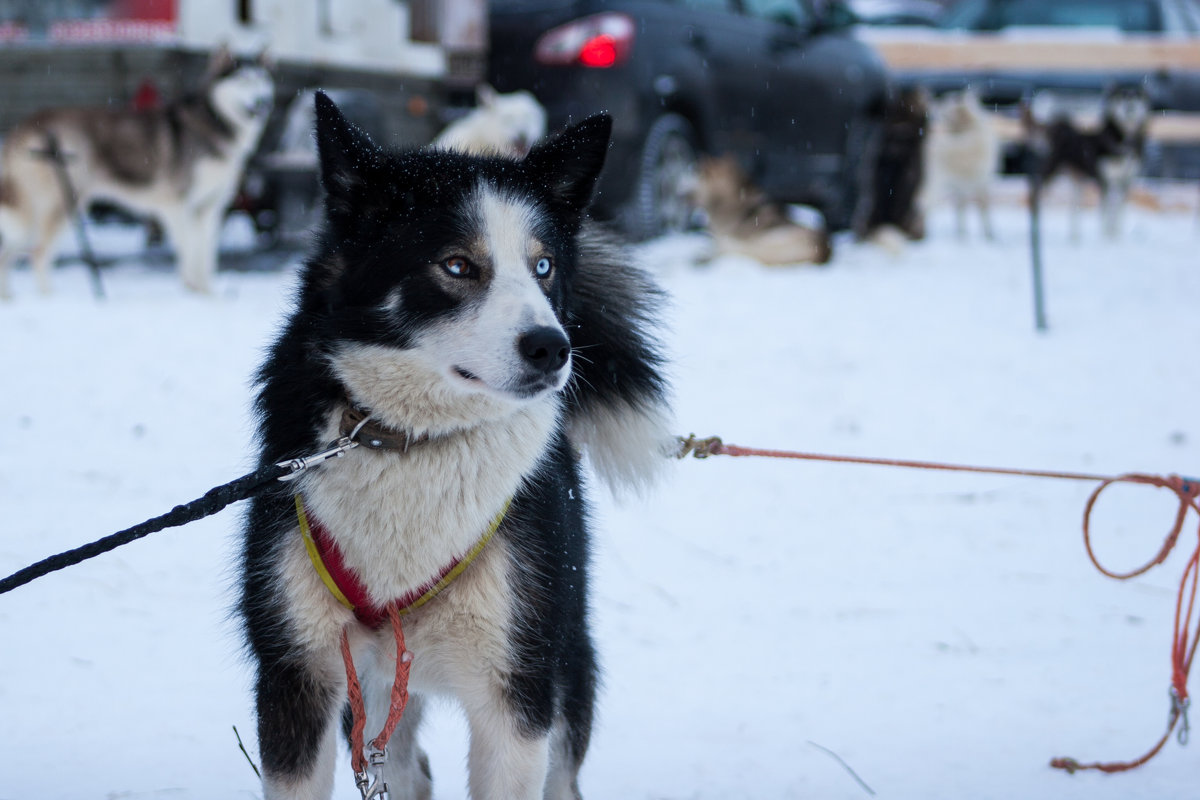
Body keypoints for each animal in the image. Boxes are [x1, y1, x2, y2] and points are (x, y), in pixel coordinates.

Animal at [0, 47, 272, 297]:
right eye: (243, 80)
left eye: (261, 79)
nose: (263, 102)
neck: (212, 123)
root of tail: (27, 124)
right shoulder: (178, 206)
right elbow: (189, 253)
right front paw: (193, 293)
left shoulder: (211, 208)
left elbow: (205, 257)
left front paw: (208, 294)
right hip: (61, 203)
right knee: (37, 253)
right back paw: (49, 297)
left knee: (12, 253)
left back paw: (10, 298)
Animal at [241, 89, 676, 800]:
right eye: (457, 265)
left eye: (543, 266)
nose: (554, 347)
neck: (411, 441)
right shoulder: (296, 680)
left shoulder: (517, 698)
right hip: (373, 693)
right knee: (407, 768)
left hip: (562, 662)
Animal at [691, 154, 830, 267]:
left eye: (699, 180)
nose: (686, 196)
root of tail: (823, 252)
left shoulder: (726, 241)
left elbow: (717, 250)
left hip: (769, 241)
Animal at [921, 86, 998, 239]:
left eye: (946, 101)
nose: (932, 100)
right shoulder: (982, 181)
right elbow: (983, 208)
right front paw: (989, 235)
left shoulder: (961, 187)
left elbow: (961, 210)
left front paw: (962, 235)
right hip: (934, 184)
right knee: (923, 205)